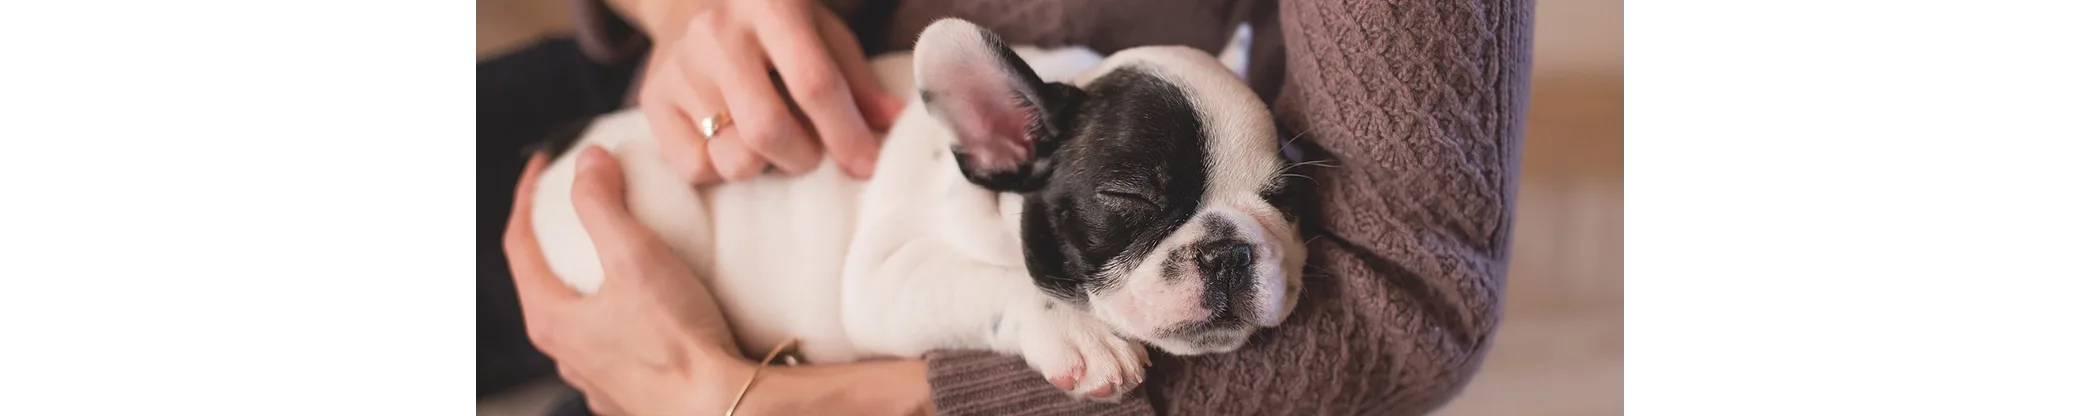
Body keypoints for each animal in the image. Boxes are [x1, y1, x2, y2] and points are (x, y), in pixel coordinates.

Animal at [529, 18, 1293, 399]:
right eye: (1129, 196)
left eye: (1285, 196)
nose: (1229, 250)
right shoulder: (885, 279)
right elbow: (993, 281)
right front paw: (1079, 333)